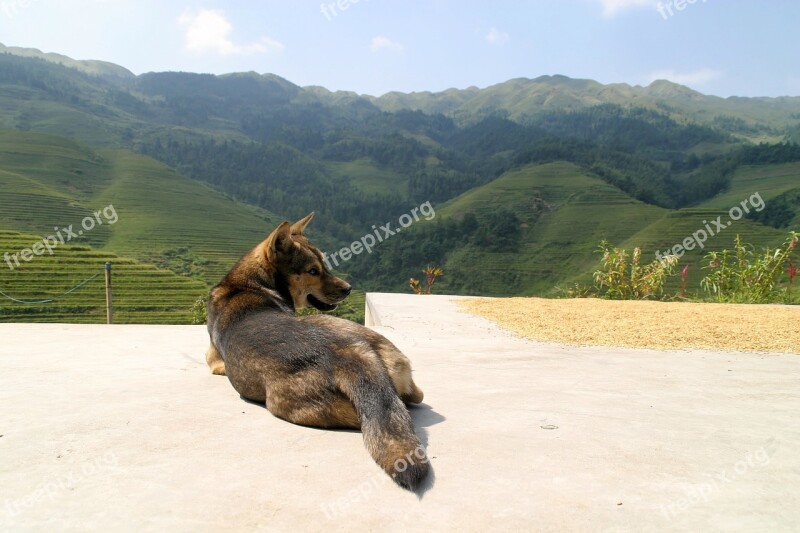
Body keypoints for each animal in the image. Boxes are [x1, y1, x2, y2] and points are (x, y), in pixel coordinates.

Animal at [206, 212, 432, 490]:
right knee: (415, 396)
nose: (348, 288)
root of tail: (352, 356)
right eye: (313, 271)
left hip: (290, 403)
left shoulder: (213, 360)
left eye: (324, 264)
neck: (248, 284)